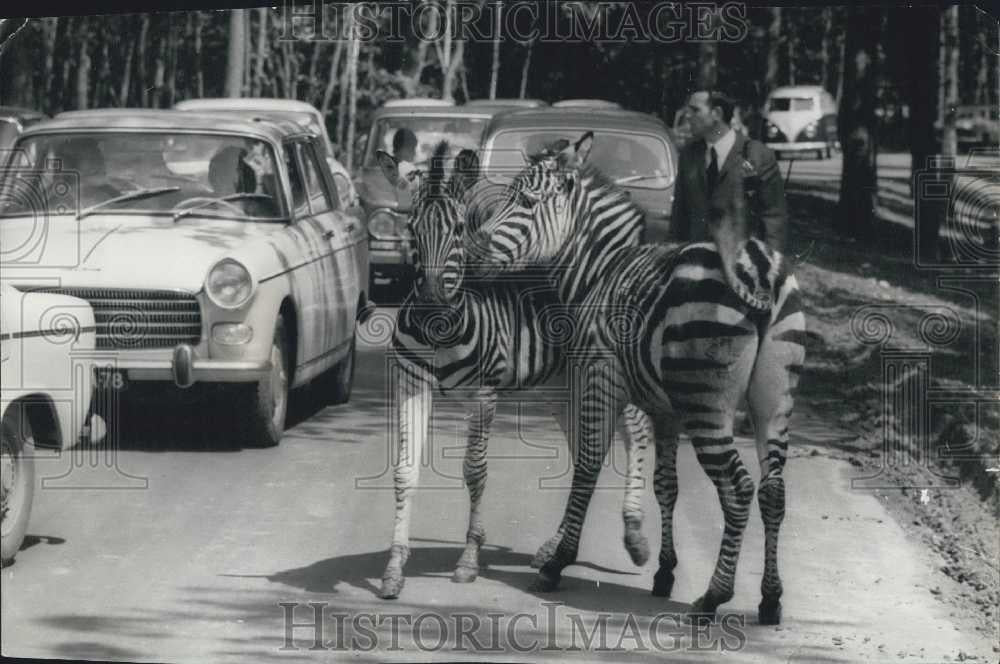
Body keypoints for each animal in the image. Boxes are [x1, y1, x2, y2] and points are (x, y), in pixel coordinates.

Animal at [376, 143, 656, 600]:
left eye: (458, 228)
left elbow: (475, 473)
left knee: (636, 430)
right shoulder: (410, 382)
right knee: (586, 453)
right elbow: (404, 471)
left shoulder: (483, 393)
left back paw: (634, 537)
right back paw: (552, 551)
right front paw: (394, 568)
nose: (432, 304)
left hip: (604, 373)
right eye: (412, 229)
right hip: (563, 386)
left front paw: (468, 561)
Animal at [464, 131, 808, 624]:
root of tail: (760, 266)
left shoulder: (599, 375)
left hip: (708, 404)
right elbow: (666, 485)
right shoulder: (665, 409)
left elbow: (588, 465)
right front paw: (664, 572)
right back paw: (770, 599)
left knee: (739, 489)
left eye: (525, 202)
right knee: (773, 491)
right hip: (774, 400)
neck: (596, 272)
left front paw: (557, 562)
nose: (471, 256)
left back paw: (713, 597)